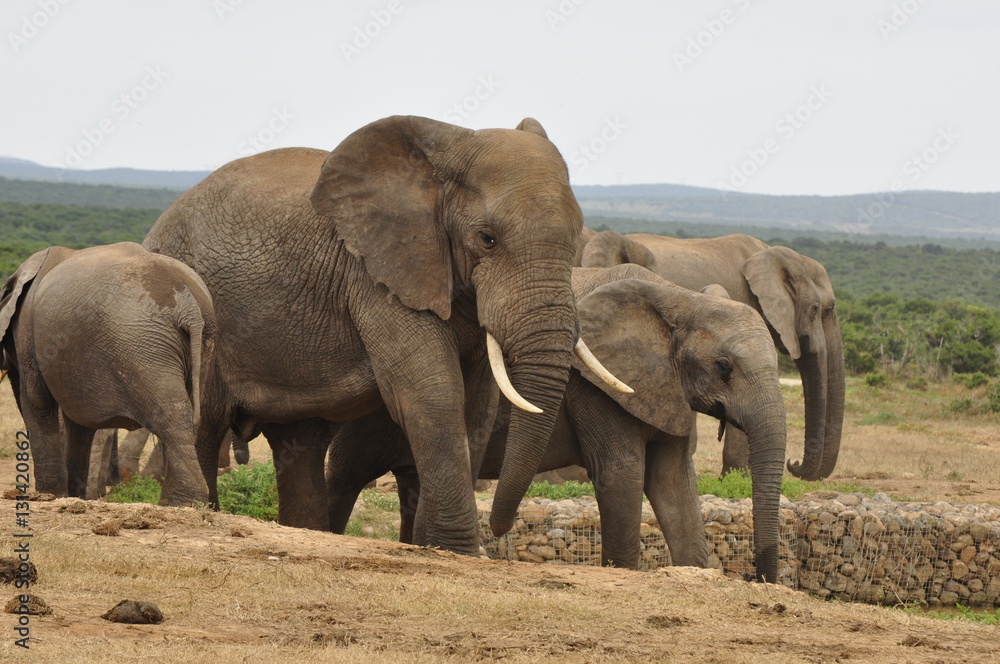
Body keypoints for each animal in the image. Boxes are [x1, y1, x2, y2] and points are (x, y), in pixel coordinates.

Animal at [0, 241, 217, 506]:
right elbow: (79, 424)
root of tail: (189, 307)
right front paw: (74, 495)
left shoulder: (28, 332)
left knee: (171, 416)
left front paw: (49, 496)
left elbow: (37, 400)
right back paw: (178, 503)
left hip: (142, 345)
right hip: (202, 342)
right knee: (191, 412)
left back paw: (181, 504)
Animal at [143, 115, 624, 556]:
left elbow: (478, 406)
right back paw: (193, 513)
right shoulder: (375, 275)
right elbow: (432, 392)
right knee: (206, 425)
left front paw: (433, 547)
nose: (500, 529)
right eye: (487, 239)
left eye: (575, 238)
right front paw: (459, 551)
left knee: (300, 442)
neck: (446, 149)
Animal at [328, 264, 788, 580]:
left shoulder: (668, 391)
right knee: (348, 469)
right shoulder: (593, 387)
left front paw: (693, 571)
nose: (760, 577)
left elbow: (673, 482)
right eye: (724, 367)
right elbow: (622, 474)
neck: (680, 298)